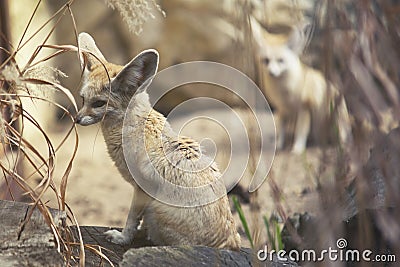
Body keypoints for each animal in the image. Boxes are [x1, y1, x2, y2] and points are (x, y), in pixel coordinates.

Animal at [75, 33, 241, 251]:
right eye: (82, 99)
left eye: (99, 104)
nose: (76, 119)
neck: (136, 126)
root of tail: (230, 242)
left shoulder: (142, 189)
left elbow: (131, 219)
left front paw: (122, 238)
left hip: (155, 209)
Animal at [252, 17, 352, 154]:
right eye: (266, 61)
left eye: (280, 61)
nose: (271, 73)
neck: (284, 91)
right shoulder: (282, 110)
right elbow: (281, 131)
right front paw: (279, 145)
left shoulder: (304, 108)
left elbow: (300, 131)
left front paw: (297, 149)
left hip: (336, 115)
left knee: (341, 138)